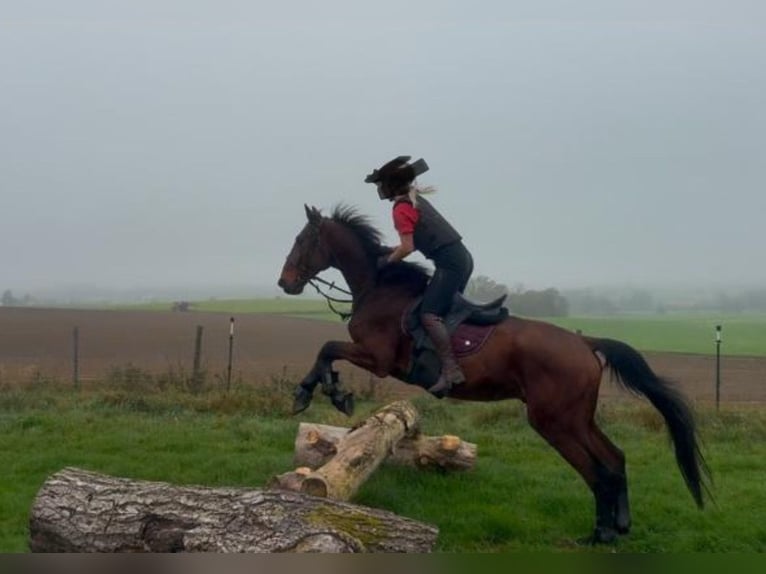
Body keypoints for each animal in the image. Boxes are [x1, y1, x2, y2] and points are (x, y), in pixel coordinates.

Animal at [278, 205, 712, 548]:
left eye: (301, 241)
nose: (285, 282)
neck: (379, 287)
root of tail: (584, 343)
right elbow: (327, 351)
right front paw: (325, 391)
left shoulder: (379, 358)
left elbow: (327, 348)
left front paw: (318, 393)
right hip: (577, 418)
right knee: (614, 458)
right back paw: (619, 526)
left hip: (554, 421)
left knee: (597, 470)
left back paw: (600, 533)